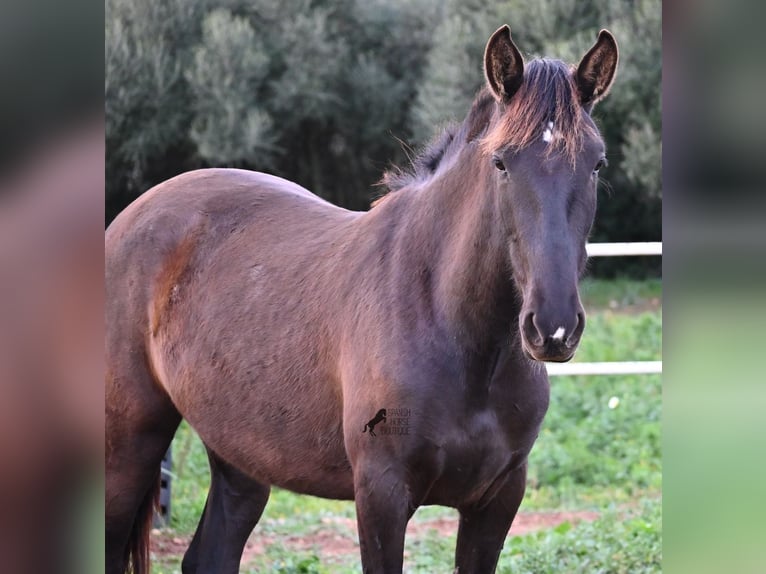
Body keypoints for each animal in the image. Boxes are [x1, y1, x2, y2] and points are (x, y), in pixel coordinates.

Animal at [106, 24, 616, 572]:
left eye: (595, 164)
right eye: (501, 163)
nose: (553, 327)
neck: (449, 324)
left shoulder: (497, 500)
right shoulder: (381, 495)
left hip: (239, 455)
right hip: (130, 447)